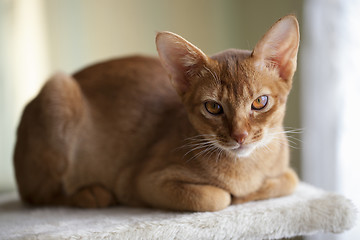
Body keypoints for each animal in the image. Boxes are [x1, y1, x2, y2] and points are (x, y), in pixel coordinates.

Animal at [14, 15, 300, 211]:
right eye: (213, 107)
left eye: (260, 102)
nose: (240, 136)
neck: (247, 167)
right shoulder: (140, 181)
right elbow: (217, 197)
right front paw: (237, 196)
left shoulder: (285, 172)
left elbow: (291, 179)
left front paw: (250, 193)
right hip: (58, 91)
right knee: (36, 196)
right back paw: (91, 195)